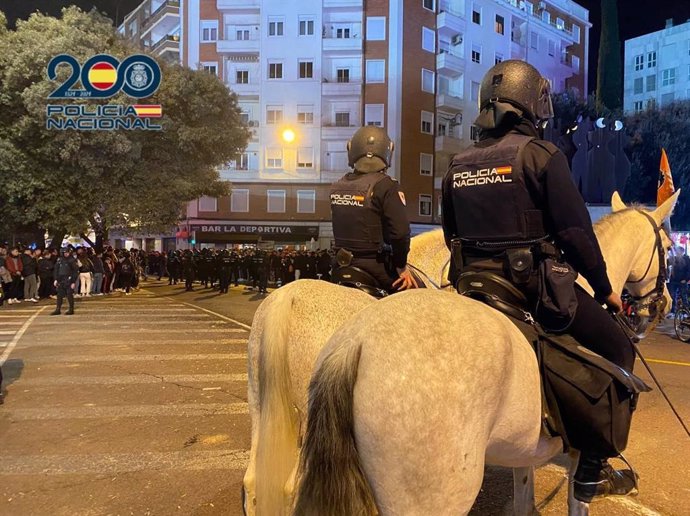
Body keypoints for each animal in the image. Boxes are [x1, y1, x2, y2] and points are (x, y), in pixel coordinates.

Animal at [292, 192, 676, 516]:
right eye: (670, 248)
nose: (664, 305)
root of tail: (355, 342)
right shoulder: (581, 452)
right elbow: (577, 499)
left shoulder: (527, 447)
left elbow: (524, 498)